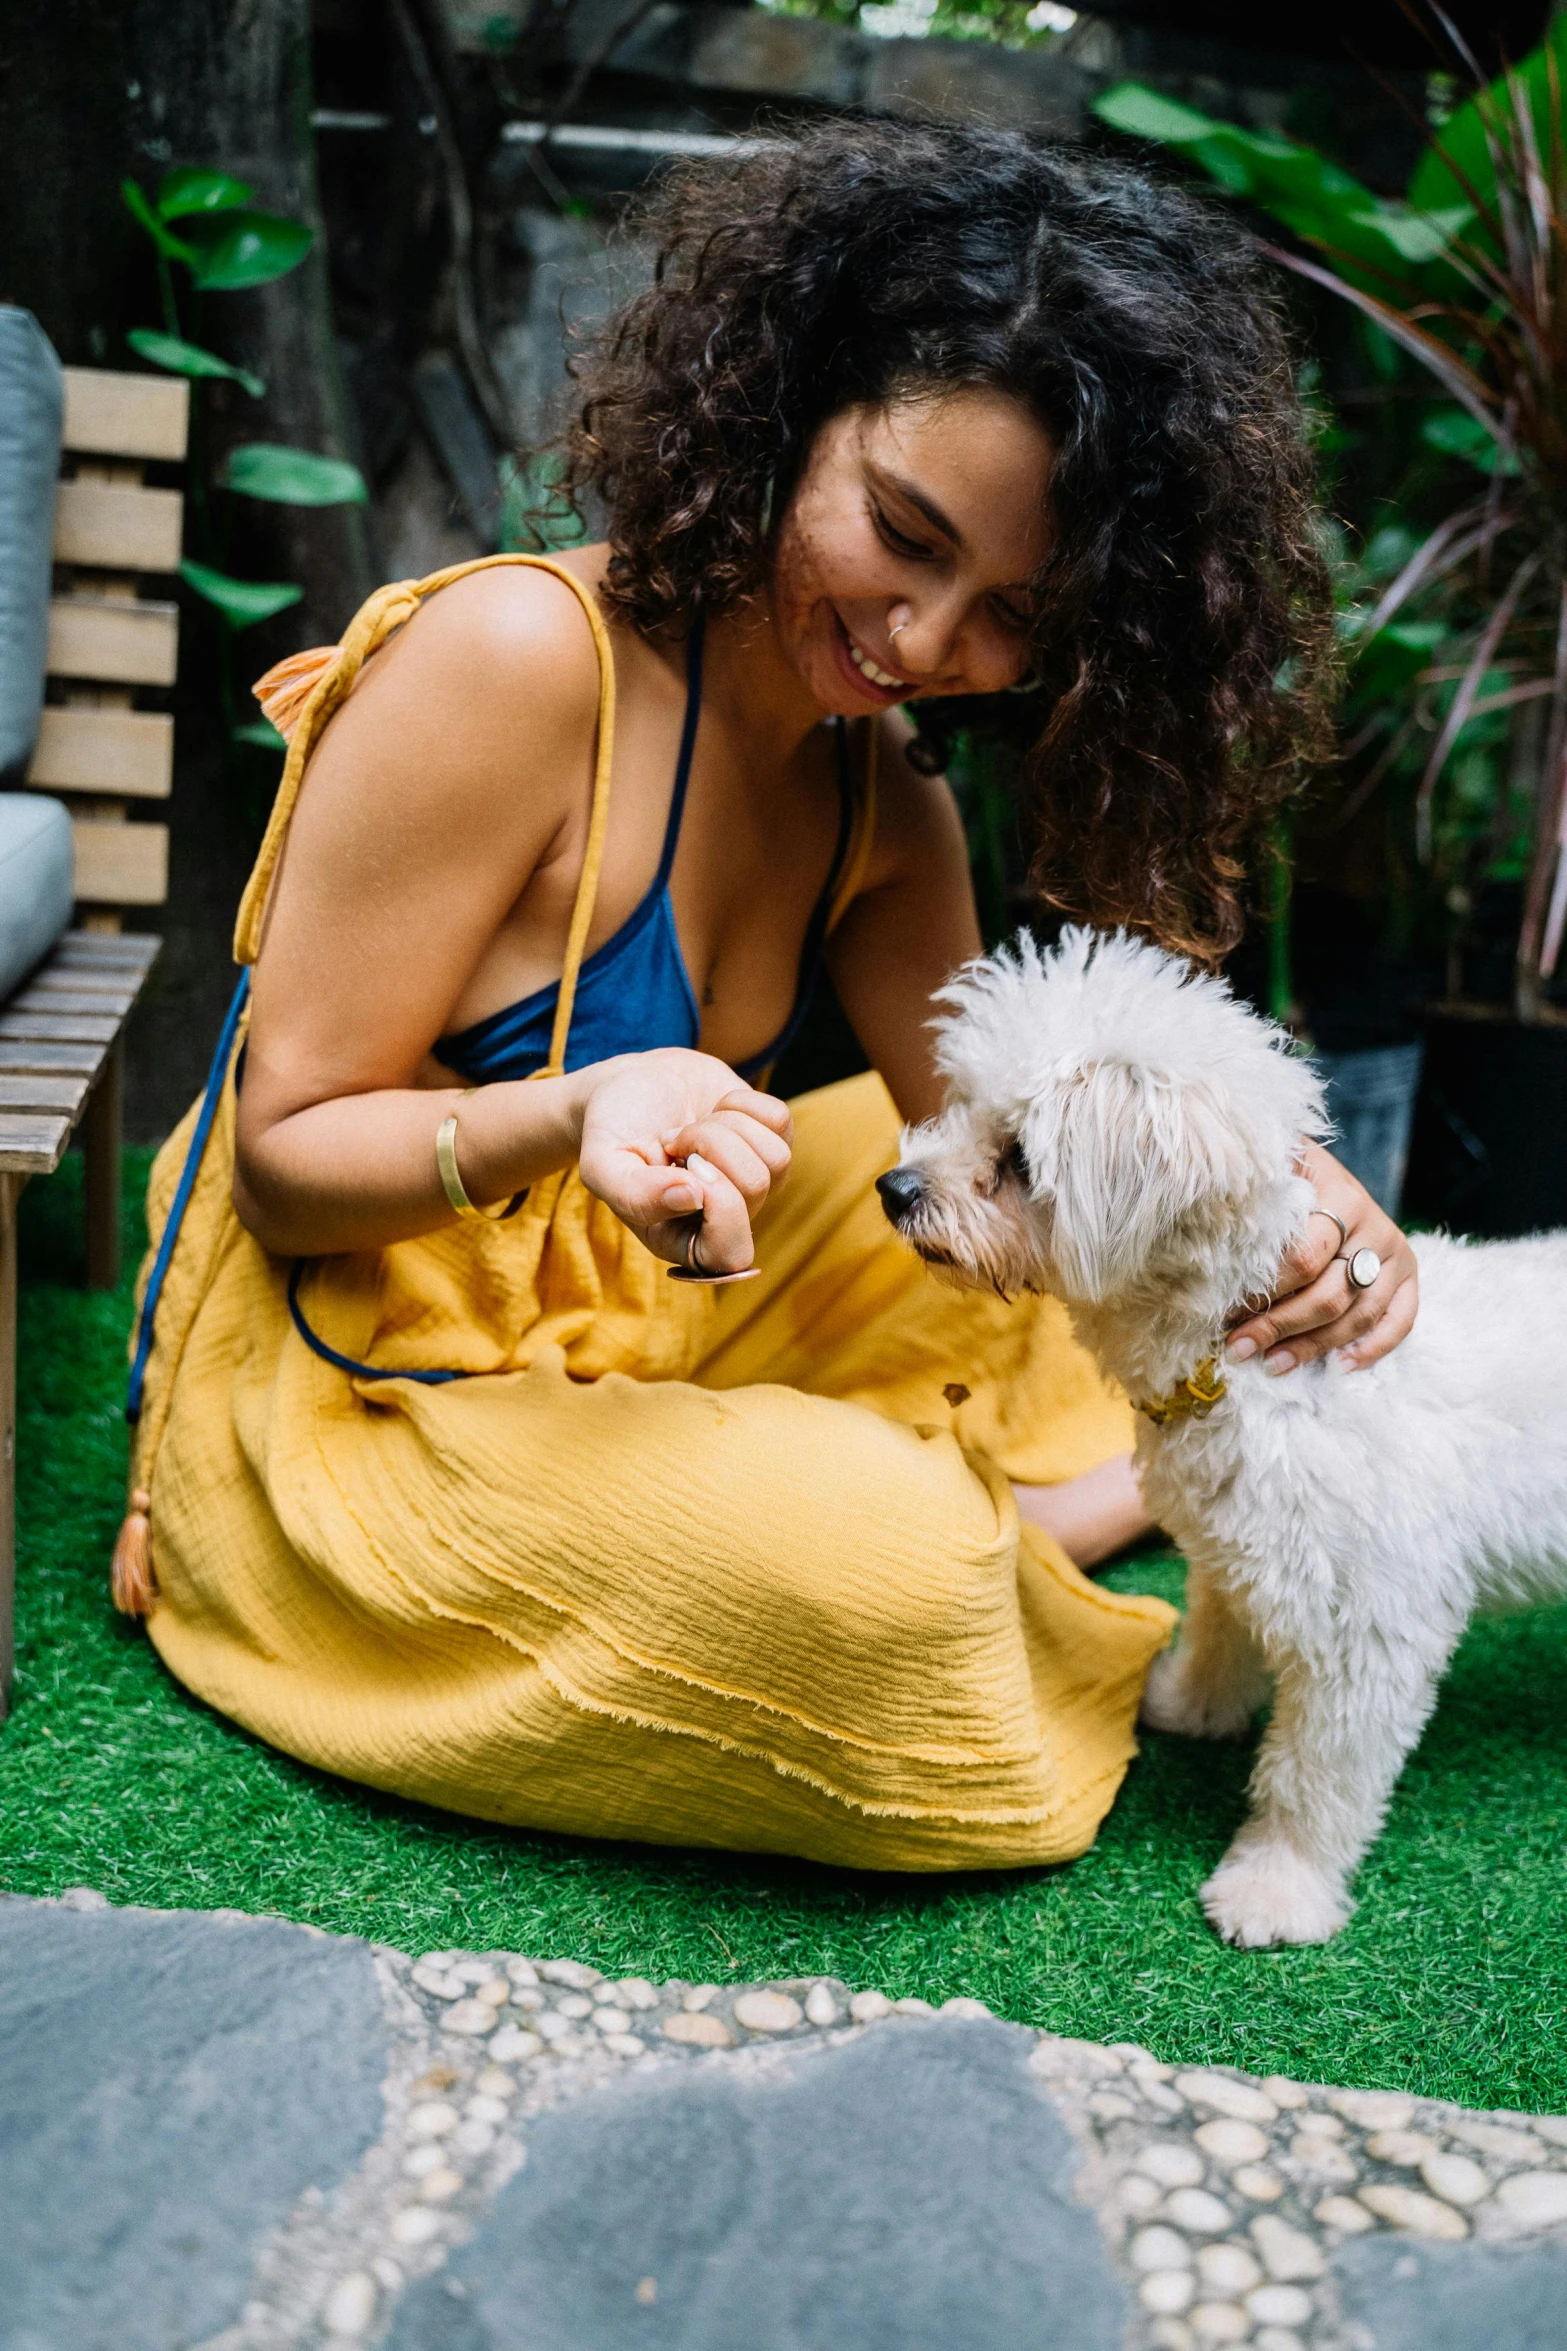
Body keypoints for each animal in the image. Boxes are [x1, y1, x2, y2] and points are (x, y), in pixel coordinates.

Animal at [883, 930, 1567, 1946]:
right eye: (959, 1104)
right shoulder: (1232, 1543)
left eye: (1017, 1157)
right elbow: (1217, 1625)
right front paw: (1191, 1703)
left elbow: (1312, 1778)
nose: (891, 1189)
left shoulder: (1370, 1626)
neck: (1233, 1358)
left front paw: (1275, 1888)